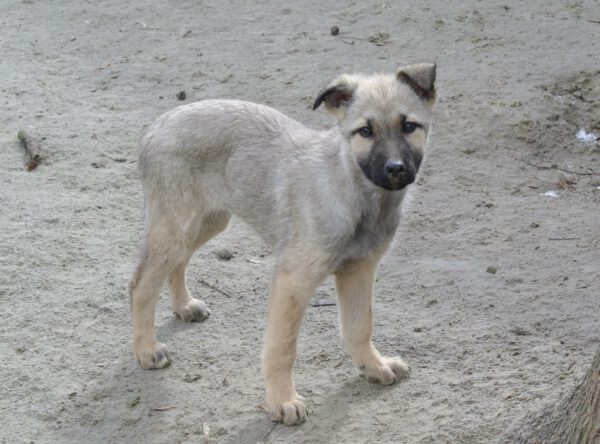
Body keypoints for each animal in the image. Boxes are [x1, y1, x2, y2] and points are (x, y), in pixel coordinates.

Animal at [130, 64, 436, 424]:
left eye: (408, 126)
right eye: (365, 131)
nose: (395, 169)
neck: (352, 191)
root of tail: (157, 125)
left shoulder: (359, 272)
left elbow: (360, 326)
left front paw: (374, 366)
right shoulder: (293, 280)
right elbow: (283, 347)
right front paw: (282, 401)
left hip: (207, 220)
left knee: (177, 262)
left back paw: (184, 306)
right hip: (174, 225)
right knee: (140, 285)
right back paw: (147, 349)